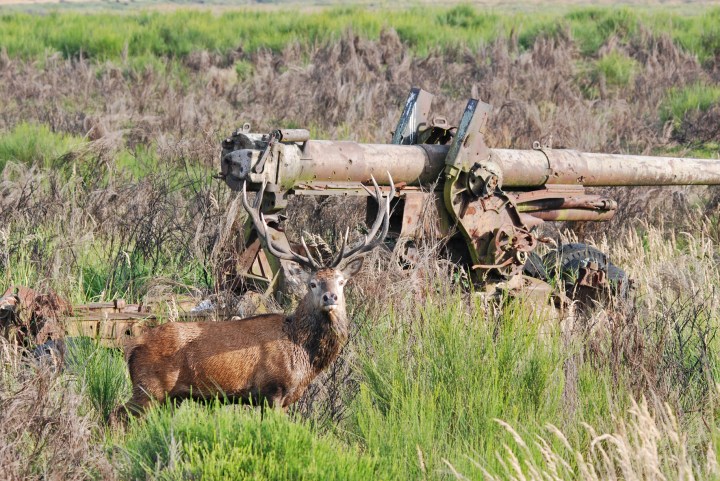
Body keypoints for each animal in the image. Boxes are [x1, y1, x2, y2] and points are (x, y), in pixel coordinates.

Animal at [116, 176, 394, 418]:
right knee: (116, 414)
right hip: (150, 387)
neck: (303, 356)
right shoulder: (273, 390)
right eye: (313, 283)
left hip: (168, 396)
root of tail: (133, 347)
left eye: (342, 281)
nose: (330, 297)